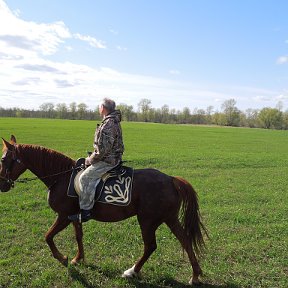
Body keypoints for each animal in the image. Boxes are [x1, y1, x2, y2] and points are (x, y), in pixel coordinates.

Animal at [0, 136, 207, 284]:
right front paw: (77, 258)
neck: (62, 177)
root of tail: (171, 179)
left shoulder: (63, 216)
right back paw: (195, 275)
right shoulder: (75, 216)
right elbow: (78, 236)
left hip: (147, 221)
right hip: (169, 218)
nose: (2, 185)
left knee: (150, 246)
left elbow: (48, 237)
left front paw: (63, 258)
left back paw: (132, 271)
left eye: (3, 159)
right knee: (185, 240)